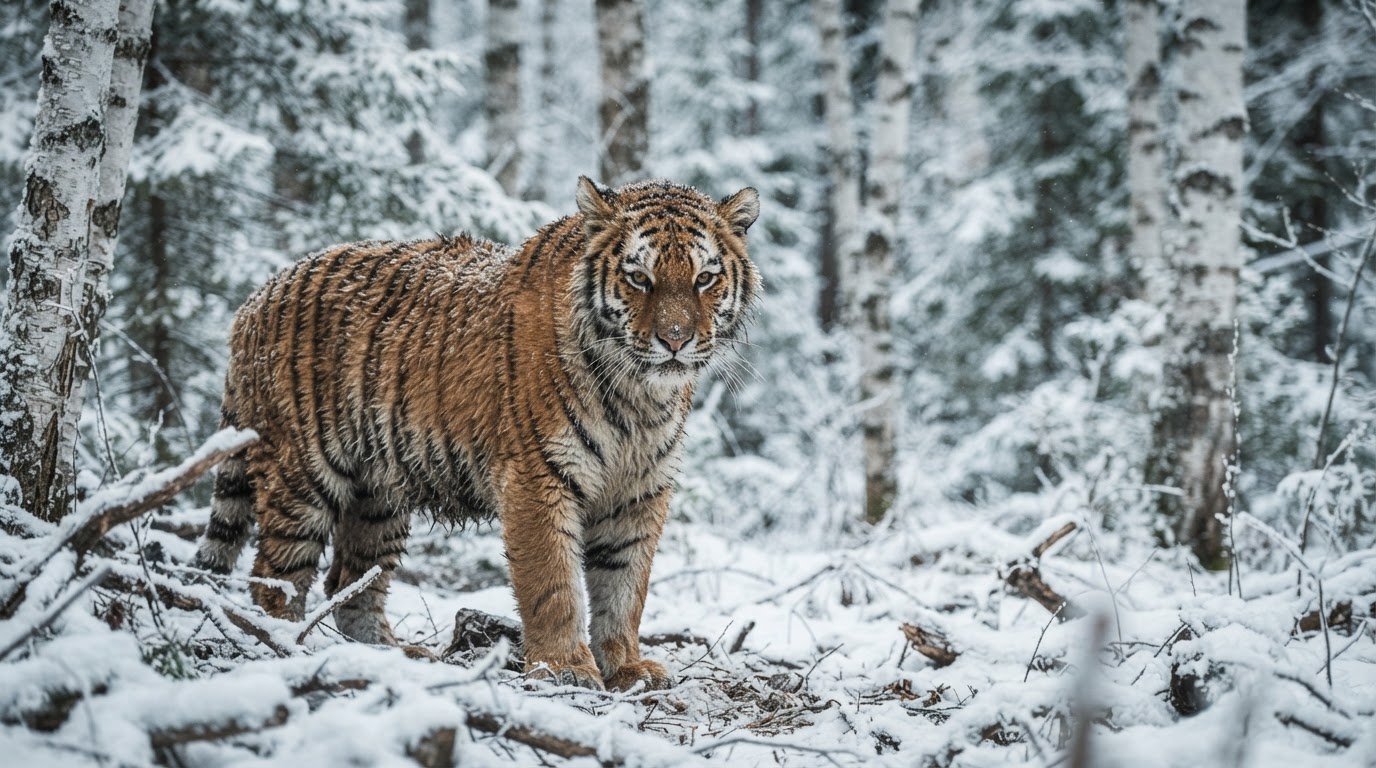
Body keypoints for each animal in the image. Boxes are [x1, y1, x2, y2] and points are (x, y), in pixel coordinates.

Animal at [194, 177, 760, 691]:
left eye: (705, 278)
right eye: (639, 277)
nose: (675, 340)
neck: (640, 396)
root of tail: (254, 300)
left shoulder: (638, 493)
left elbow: (624, 590)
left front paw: (627, 668)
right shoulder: (537, 478)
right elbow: (553, 586)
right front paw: (565, 669)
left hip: (379, 495)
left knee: (351, 584)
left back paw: (392, 658)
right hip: (303, 475)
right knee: (275, 578)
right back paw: (285, 646)